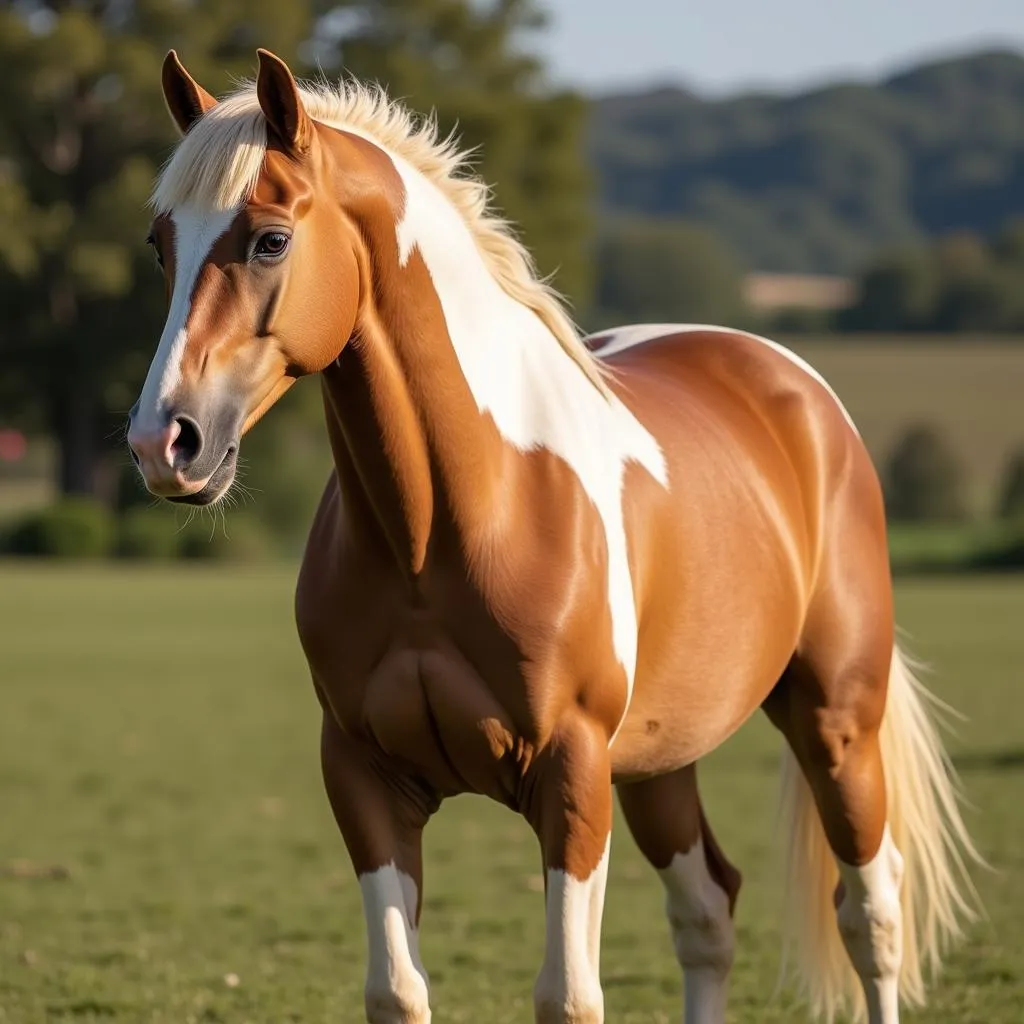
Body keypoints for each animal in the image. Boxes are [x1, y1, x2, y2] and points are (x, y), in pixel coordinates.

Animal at [128, 51, 983, 1024]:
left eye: (270, 239)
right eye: (161, 244)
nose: (164, 442)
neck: (447, 527)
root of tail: (794, 388)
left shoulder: (572, 777)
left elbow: (568, 996)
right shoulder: (363, 777)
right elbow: (398, 991)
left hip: (836, 720)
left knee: (870, 913)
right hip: (660, 762)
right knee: (708, 911)